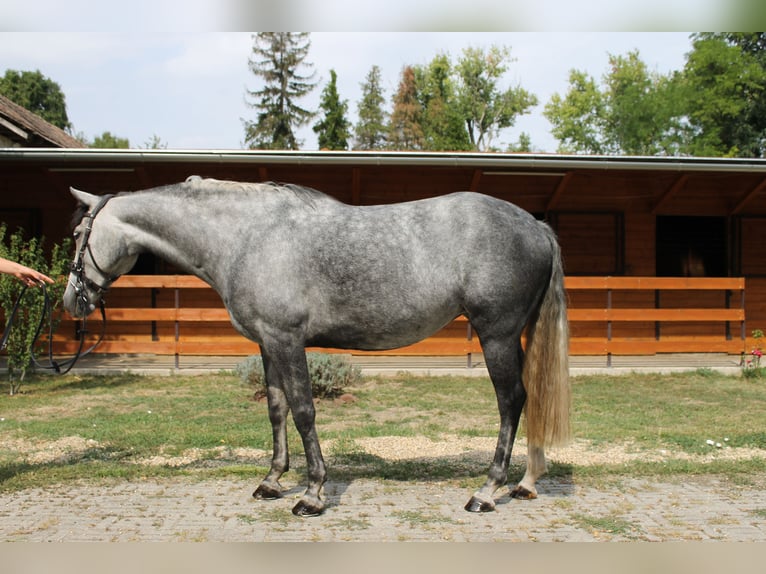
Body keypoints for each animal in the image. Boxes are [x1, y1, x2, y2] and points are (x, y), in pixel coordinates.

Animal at [64, 178, 568, 520]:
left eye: (76, 236)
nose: (72, 301)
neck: (246, 237)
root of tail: (536, 226)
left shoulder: (287, 340)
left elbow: (305, 410)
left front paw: (312, 494)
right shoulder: (268, 343)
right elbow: (277, 409)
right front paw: (271, 482)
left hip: (496, 334)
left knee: (511, 401)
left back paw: (486, 492)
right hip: (515, 336)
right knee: (531, 398)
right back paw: (526, 484)